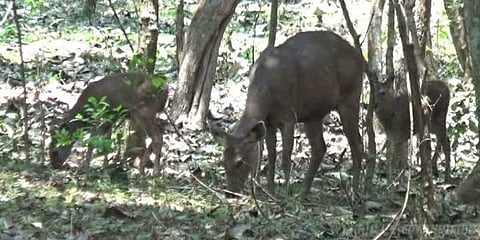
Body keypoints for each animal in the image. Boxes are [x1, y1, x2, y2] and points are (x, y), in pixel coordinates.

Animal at [208, 30, 366, 195]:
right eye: (223, 161)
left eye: (240, 162)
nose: (230, 193)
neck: (266, 91)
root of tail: (359, 57)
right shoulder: (269, 122)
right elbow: (271, 154)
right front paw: (270, 190)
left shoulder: (288, 116)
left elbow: (285, 156)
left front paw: (285, 192)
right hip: (313, 114)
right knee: (320, 147)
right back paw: (303, 192)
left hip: (351, 96)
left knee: (357, 145)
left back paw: (355, 191)